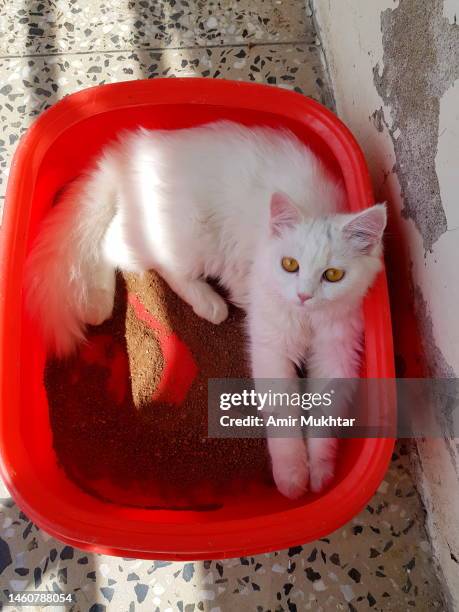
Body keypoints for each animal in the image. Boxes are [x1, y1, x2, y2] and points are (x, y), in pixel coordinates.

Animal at [23, 122, 386, 500]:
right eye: (290, 265)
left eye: (333, 275)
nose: (304, 295)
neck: (306, 319)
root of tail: (134, 150)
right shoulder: (271, 345)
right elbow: (284, 415)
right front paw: (292, 477)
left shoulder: (337, 354)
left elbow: (325, 421)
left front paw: (321, 474)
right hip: (190, 239)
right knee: (117, 246)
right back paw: (115, 303)